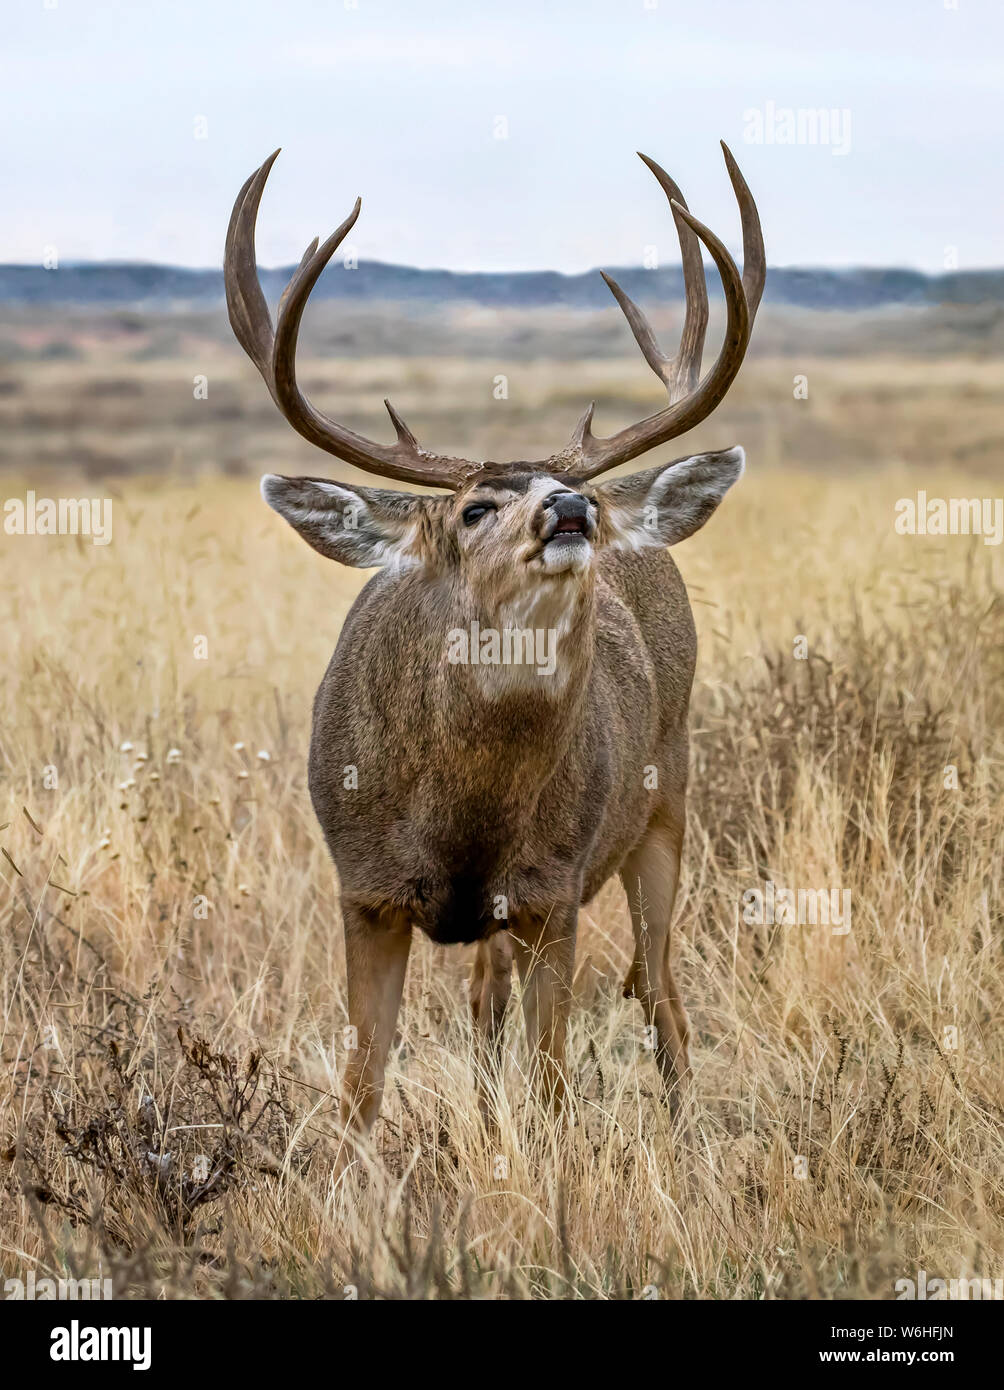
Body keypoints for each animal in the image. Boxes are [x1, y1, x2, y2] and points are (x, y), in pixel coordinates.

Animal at [225, 143, 756, 1162]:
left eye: (563, 492)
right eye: (473, 509)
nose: (573, 506)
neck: (462, 817)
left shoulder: (554, 890)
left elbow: (551, 1087)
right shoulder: (364, 890)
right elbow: (362, 1087)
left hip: (669, 799)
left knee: (658, 987)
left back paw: (686, 1136)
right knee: (489, 1000)